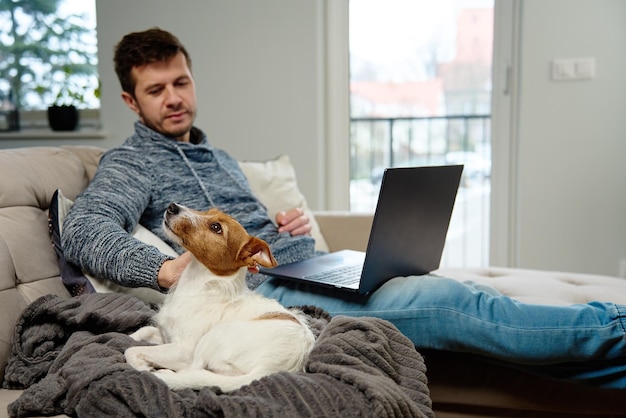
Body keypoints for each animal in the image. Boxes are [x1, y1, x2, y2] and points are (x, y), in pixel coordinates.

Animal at [123, 202, 314, 392]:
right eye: (207, 212)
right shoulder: (165, 337)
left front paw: (143, 366)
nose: (172, 206)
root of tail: (270, 370)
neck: (196, 284)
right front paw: (132, 338)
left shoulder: (183, 350)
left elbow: (131, 351)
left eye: (216, 228)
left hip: (210, 340)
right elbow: (144, 331)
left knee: (194, 372)